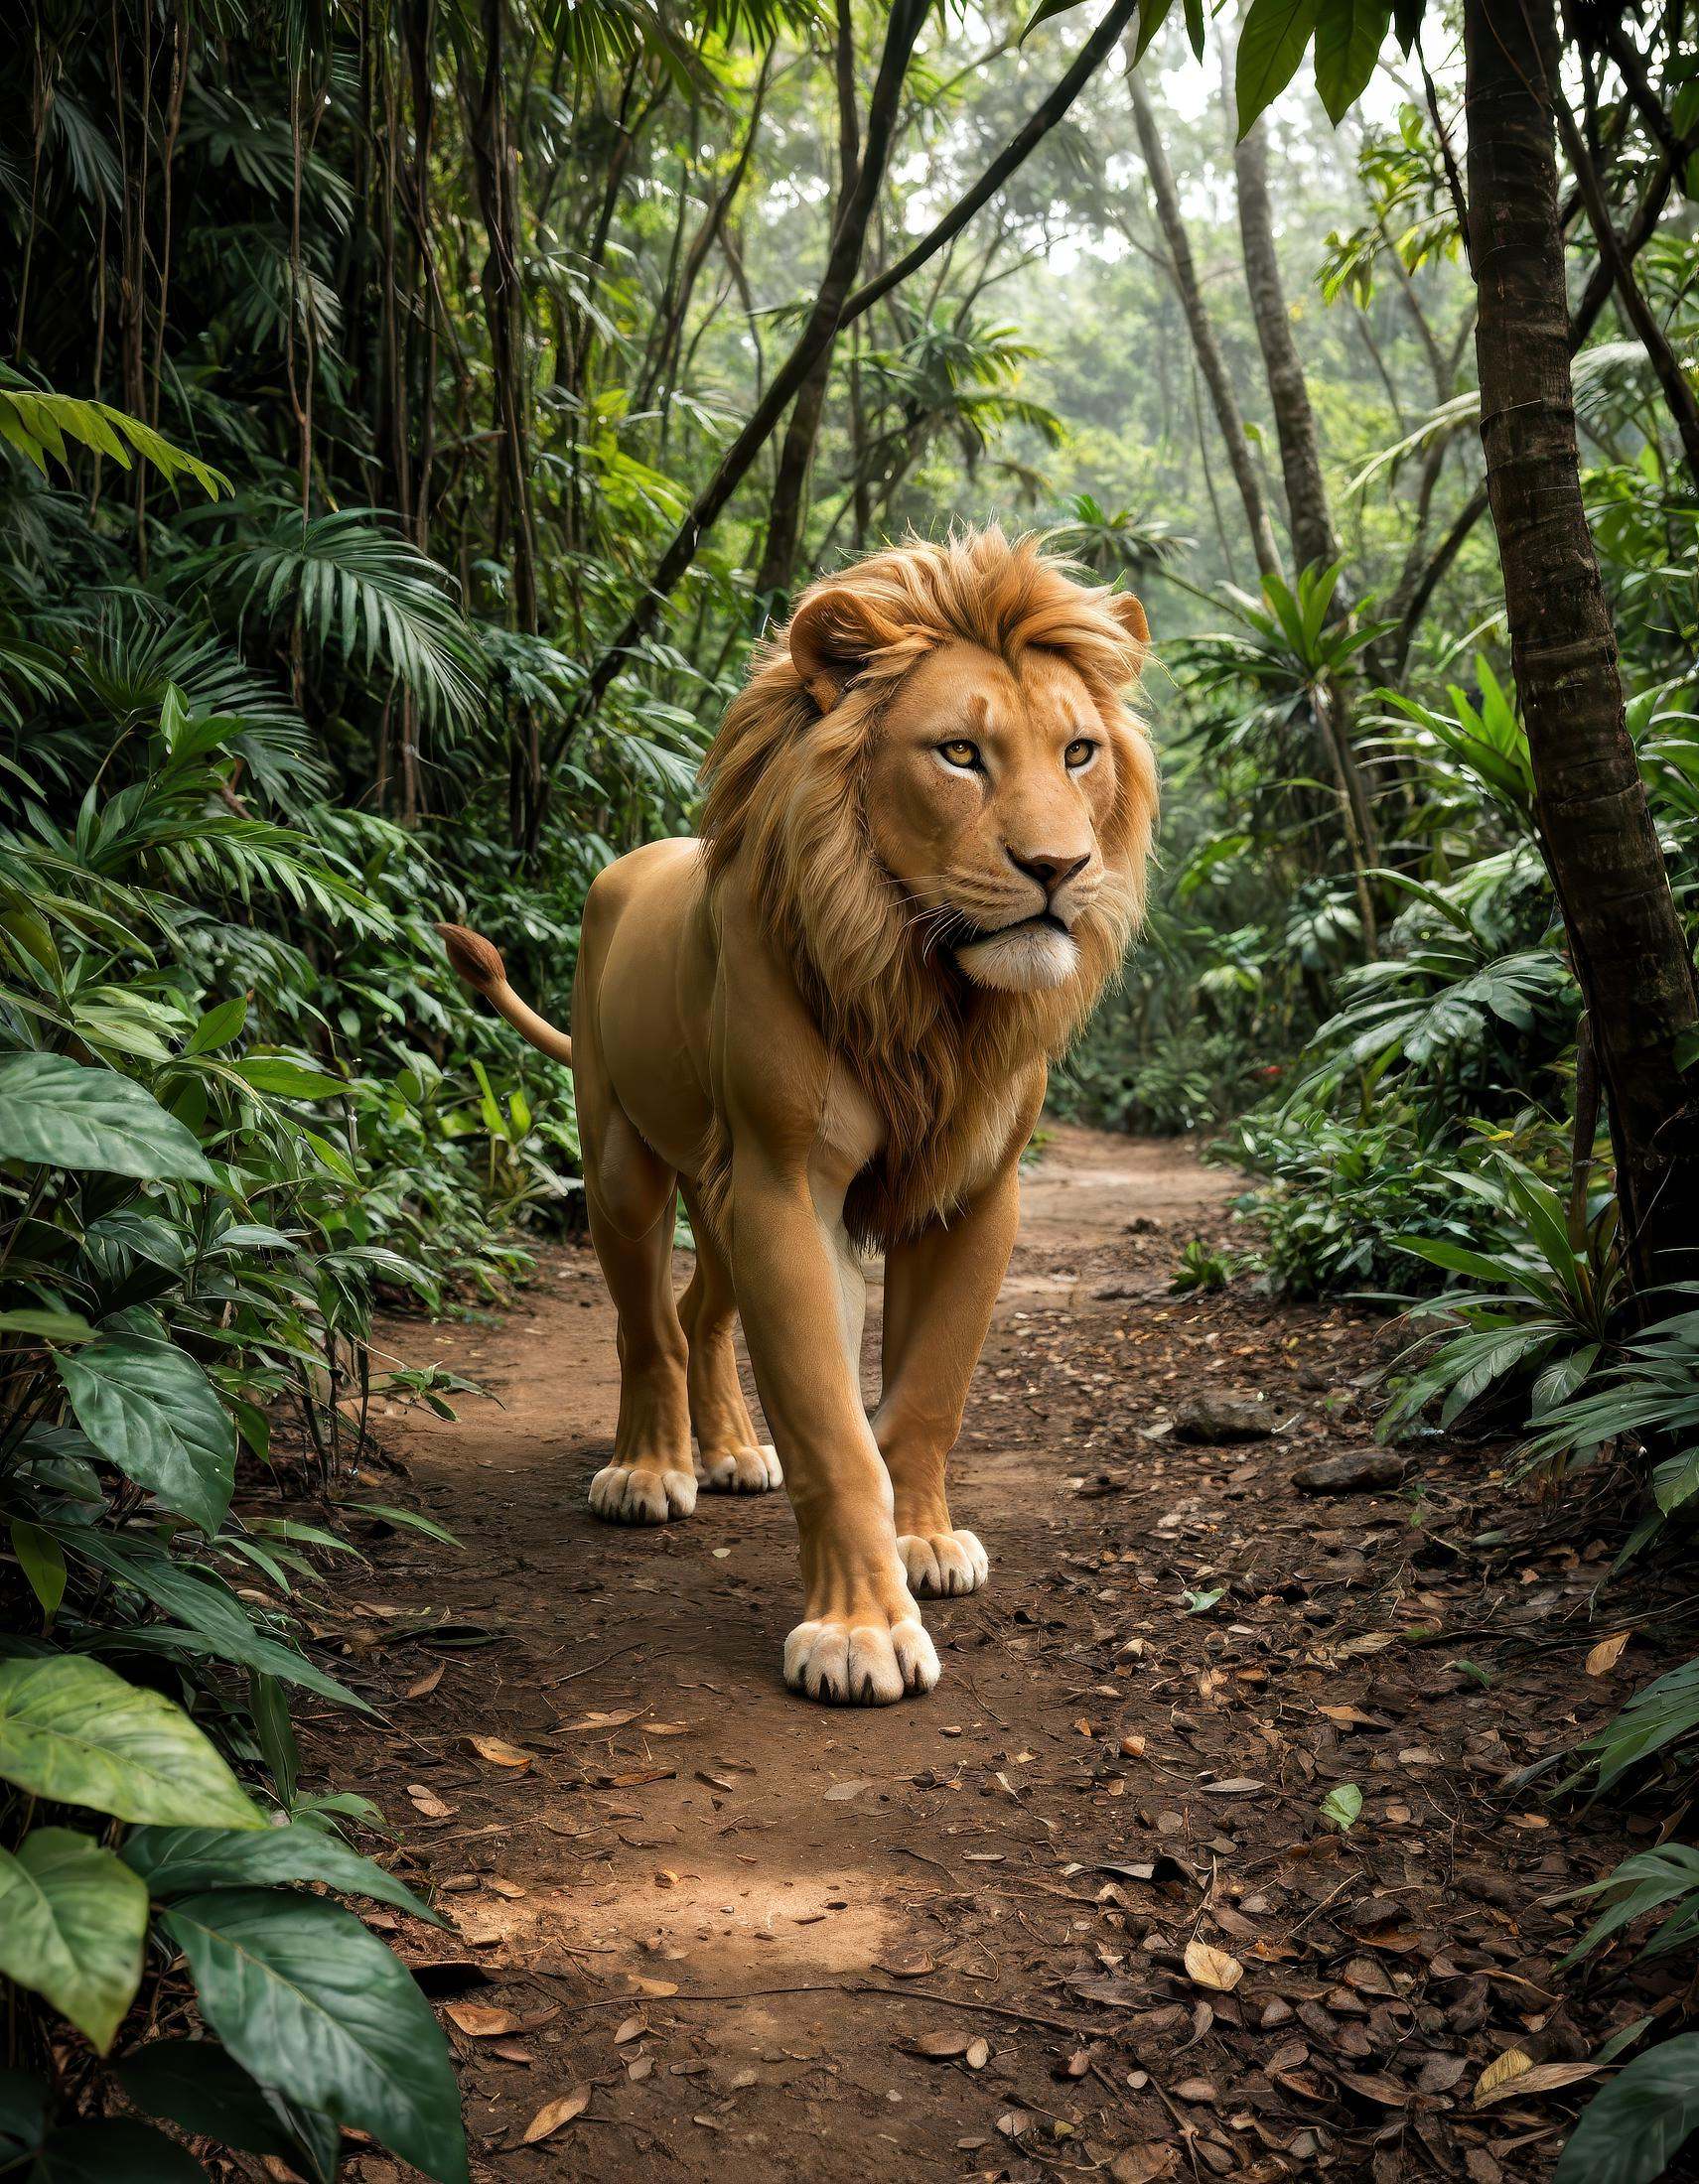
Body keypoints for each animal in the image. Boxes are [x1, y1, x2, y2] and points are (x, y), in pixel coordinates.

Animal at [439, 527, 1157, 1705]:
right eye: (959, 754)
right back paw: (650, 1470)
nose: (1059, 868)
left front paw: (925, 1543)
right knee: (646, 1326)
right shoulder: (786, 1182)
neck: (928, 995)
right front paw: (859, 1629)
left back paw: (731, 1452)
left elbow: (924, 1398)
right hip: (625, 1162)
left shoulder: (971, 1193)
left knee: (700, 1315)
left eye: (1080, 754)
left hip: (719, 1186)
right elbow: (832, 1429)